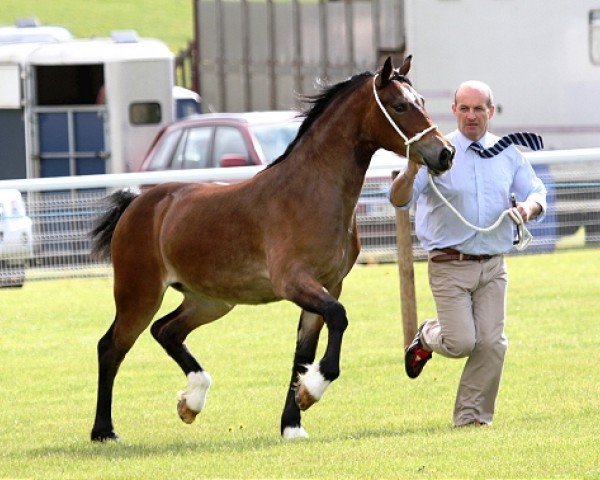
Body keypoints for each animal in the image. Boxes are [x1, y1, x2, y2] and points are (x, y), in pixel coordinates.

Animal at [89, 56, 454, 442]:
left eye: (422, 102)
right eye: (399, 106)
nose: (445, 153)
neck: (310, 191)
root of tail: (138, 203)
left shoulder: (327, 285)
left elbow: (303, 353)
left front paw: (293, 422)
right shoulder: (294, 282)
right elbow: (338, 317)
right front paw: (311, 391)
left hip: (210, 301)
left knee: (165, 331)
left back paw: (191, 401)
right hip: (139, 296)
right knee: (111, 347)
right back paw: (104, 430)